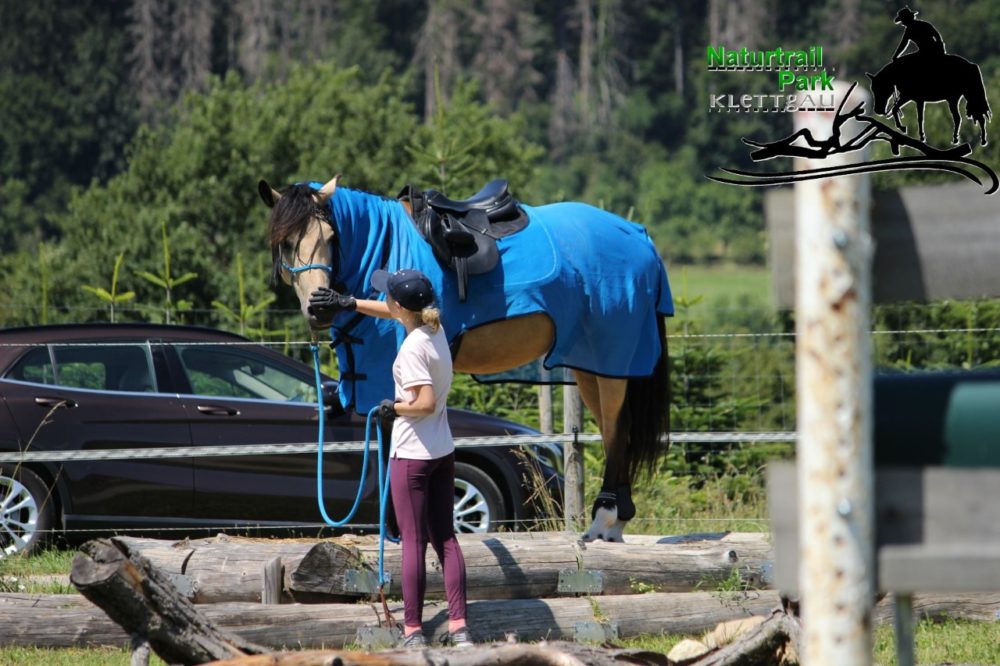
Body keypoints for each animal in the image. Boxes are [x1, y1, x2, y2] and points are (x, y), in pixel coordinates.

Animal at [260, 172, 672, 540]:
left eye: (330, 237)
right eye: (285, 243)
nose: (319, 307)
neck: (386, 250)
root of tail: (639, 235)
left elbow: (395, 438)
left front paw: (401, 528)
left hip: (613, 358)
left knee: (617, 428)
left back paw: (605, 518)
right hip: (590, 366)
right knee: (610, 427)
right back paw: (615, 522)